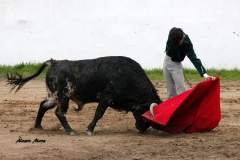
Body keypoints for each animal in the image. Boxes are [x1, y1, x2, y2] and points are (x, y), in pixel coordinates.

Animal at [6, 56, 162, 135]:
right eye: (145, 113)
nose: (143, 129)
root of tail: (54, 62)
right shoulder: (105, 97)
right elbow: (98, 114)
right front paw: (90, 130)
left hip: (54, 96)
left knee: (43, 105)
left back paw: (38, 126)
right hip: (62, 96)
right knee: (59, 113)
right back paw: (71, 131)